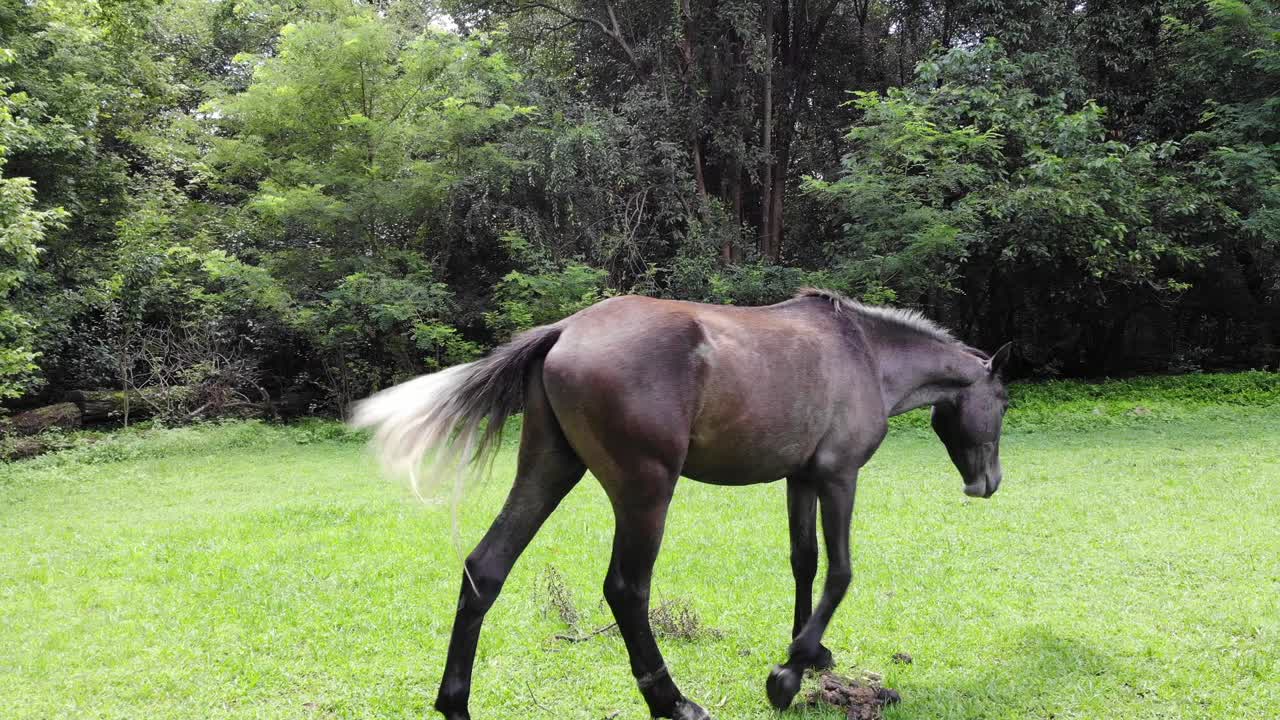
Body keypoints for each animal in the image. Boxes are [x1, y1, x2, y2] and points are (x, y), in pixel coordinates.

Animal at [351, 288, 1013, 720]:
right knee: (626, 589)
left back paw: (456, 703)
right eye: (1002, 402)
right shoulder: (837, 477)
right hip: (645, 491)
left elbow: (803, 564)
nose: (988, 483)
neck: (866, 355)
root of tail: (564, 331)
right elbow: (841, 571)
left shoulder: (799, 480)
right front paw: (787, 676)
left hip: (548, 470)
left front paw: (810, 651)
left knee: (485, 569)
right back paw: (671, 701)